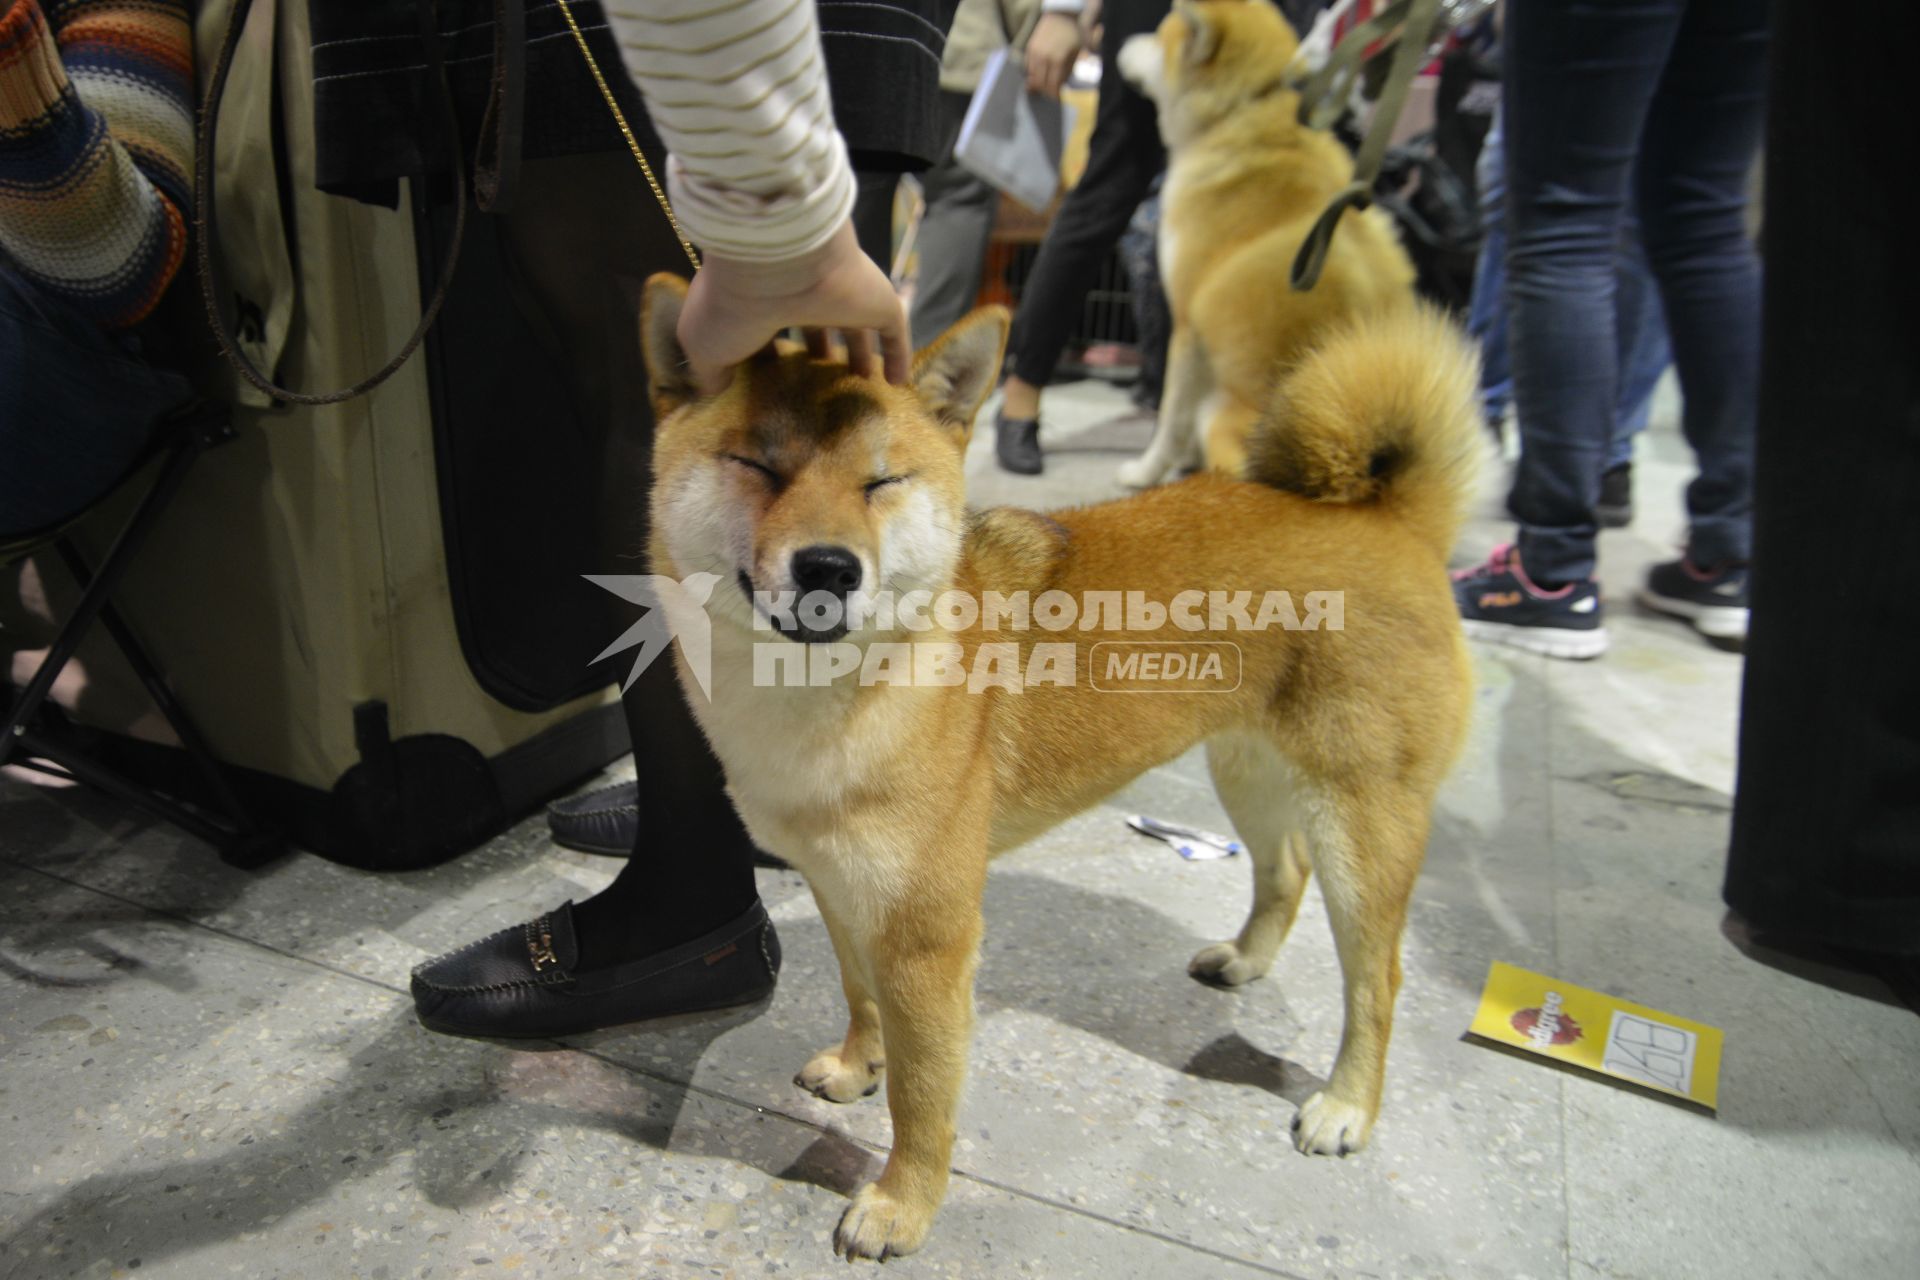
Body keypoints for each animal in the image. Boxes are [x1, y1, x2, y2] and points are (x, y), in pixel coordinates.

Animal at [637, 270, 1474, 1258]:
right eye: (758, 467)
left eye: (881, 482)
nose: (829, 568)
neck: (822, 698)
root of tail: (1394, 521)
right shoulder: (841, 886)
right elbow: (860, 996)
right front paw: (856, 1065)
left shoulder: (927, 934)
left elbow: (925, 1095)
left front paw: (903, 1203)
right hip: (1249, 772)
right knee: (1284, 871)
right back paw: (1244, 960)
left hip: (1362, 826)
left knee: (1376, 979)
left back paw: (1347, 1105)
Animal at [1121, 0, 1420, 491]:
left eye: (1159, 38)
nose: (1123, 42)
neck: (1245, 109)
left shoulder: (1186, 325)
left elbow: (1170, 417)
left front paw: (1146, 470)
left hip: (1219, 416)